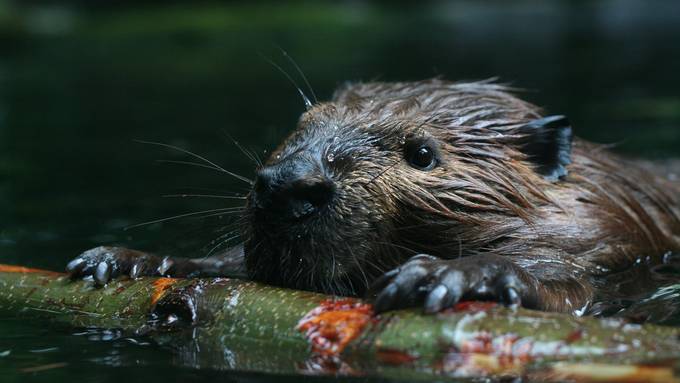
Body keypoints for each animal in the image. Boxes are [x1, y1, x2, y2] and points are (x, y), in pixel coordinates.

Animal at [66, 79, 680, 316]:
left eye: (423, 154)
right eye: (302, 123)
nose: (289, 186)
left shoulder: (609, 236)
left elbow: (565, 281)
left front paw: (443, 274)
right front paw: (124, 260)